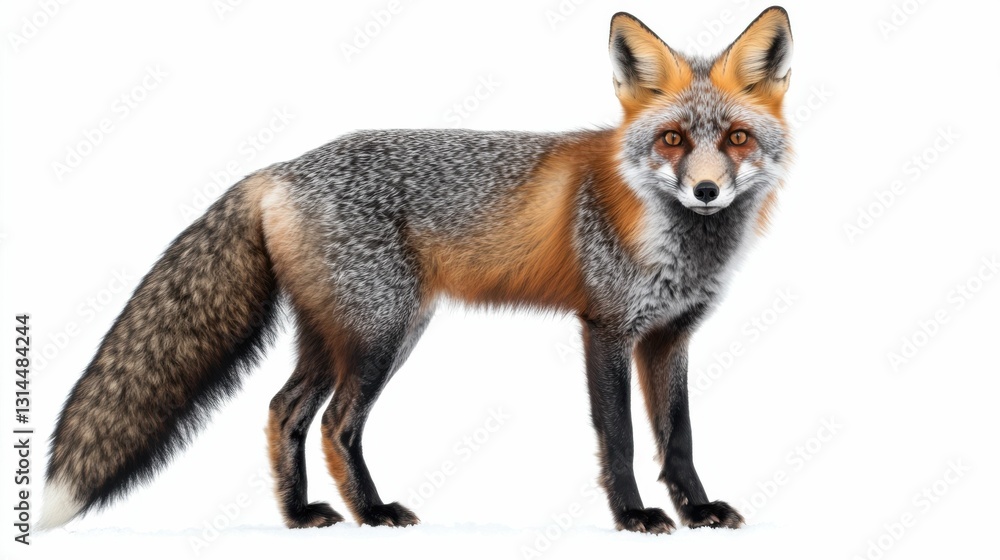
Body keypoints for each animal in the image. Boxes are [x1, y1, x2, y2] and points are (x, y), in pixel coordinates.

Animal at [41, 7, 793, 534]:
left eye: (736, 137)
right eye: (671, 139)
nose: (706, 191)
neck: (677, 242)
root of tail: (279, 169)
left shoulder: (669, 337)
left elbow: (679, 437)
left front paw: (698, 512)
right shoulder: (605, 329)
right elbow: (622, 440)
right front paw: (634, 518)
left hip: (344, 335)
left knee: (285, 410)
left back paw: (301, 517)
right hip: (380, 334)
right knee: (335, 424)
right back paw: (372, 514)